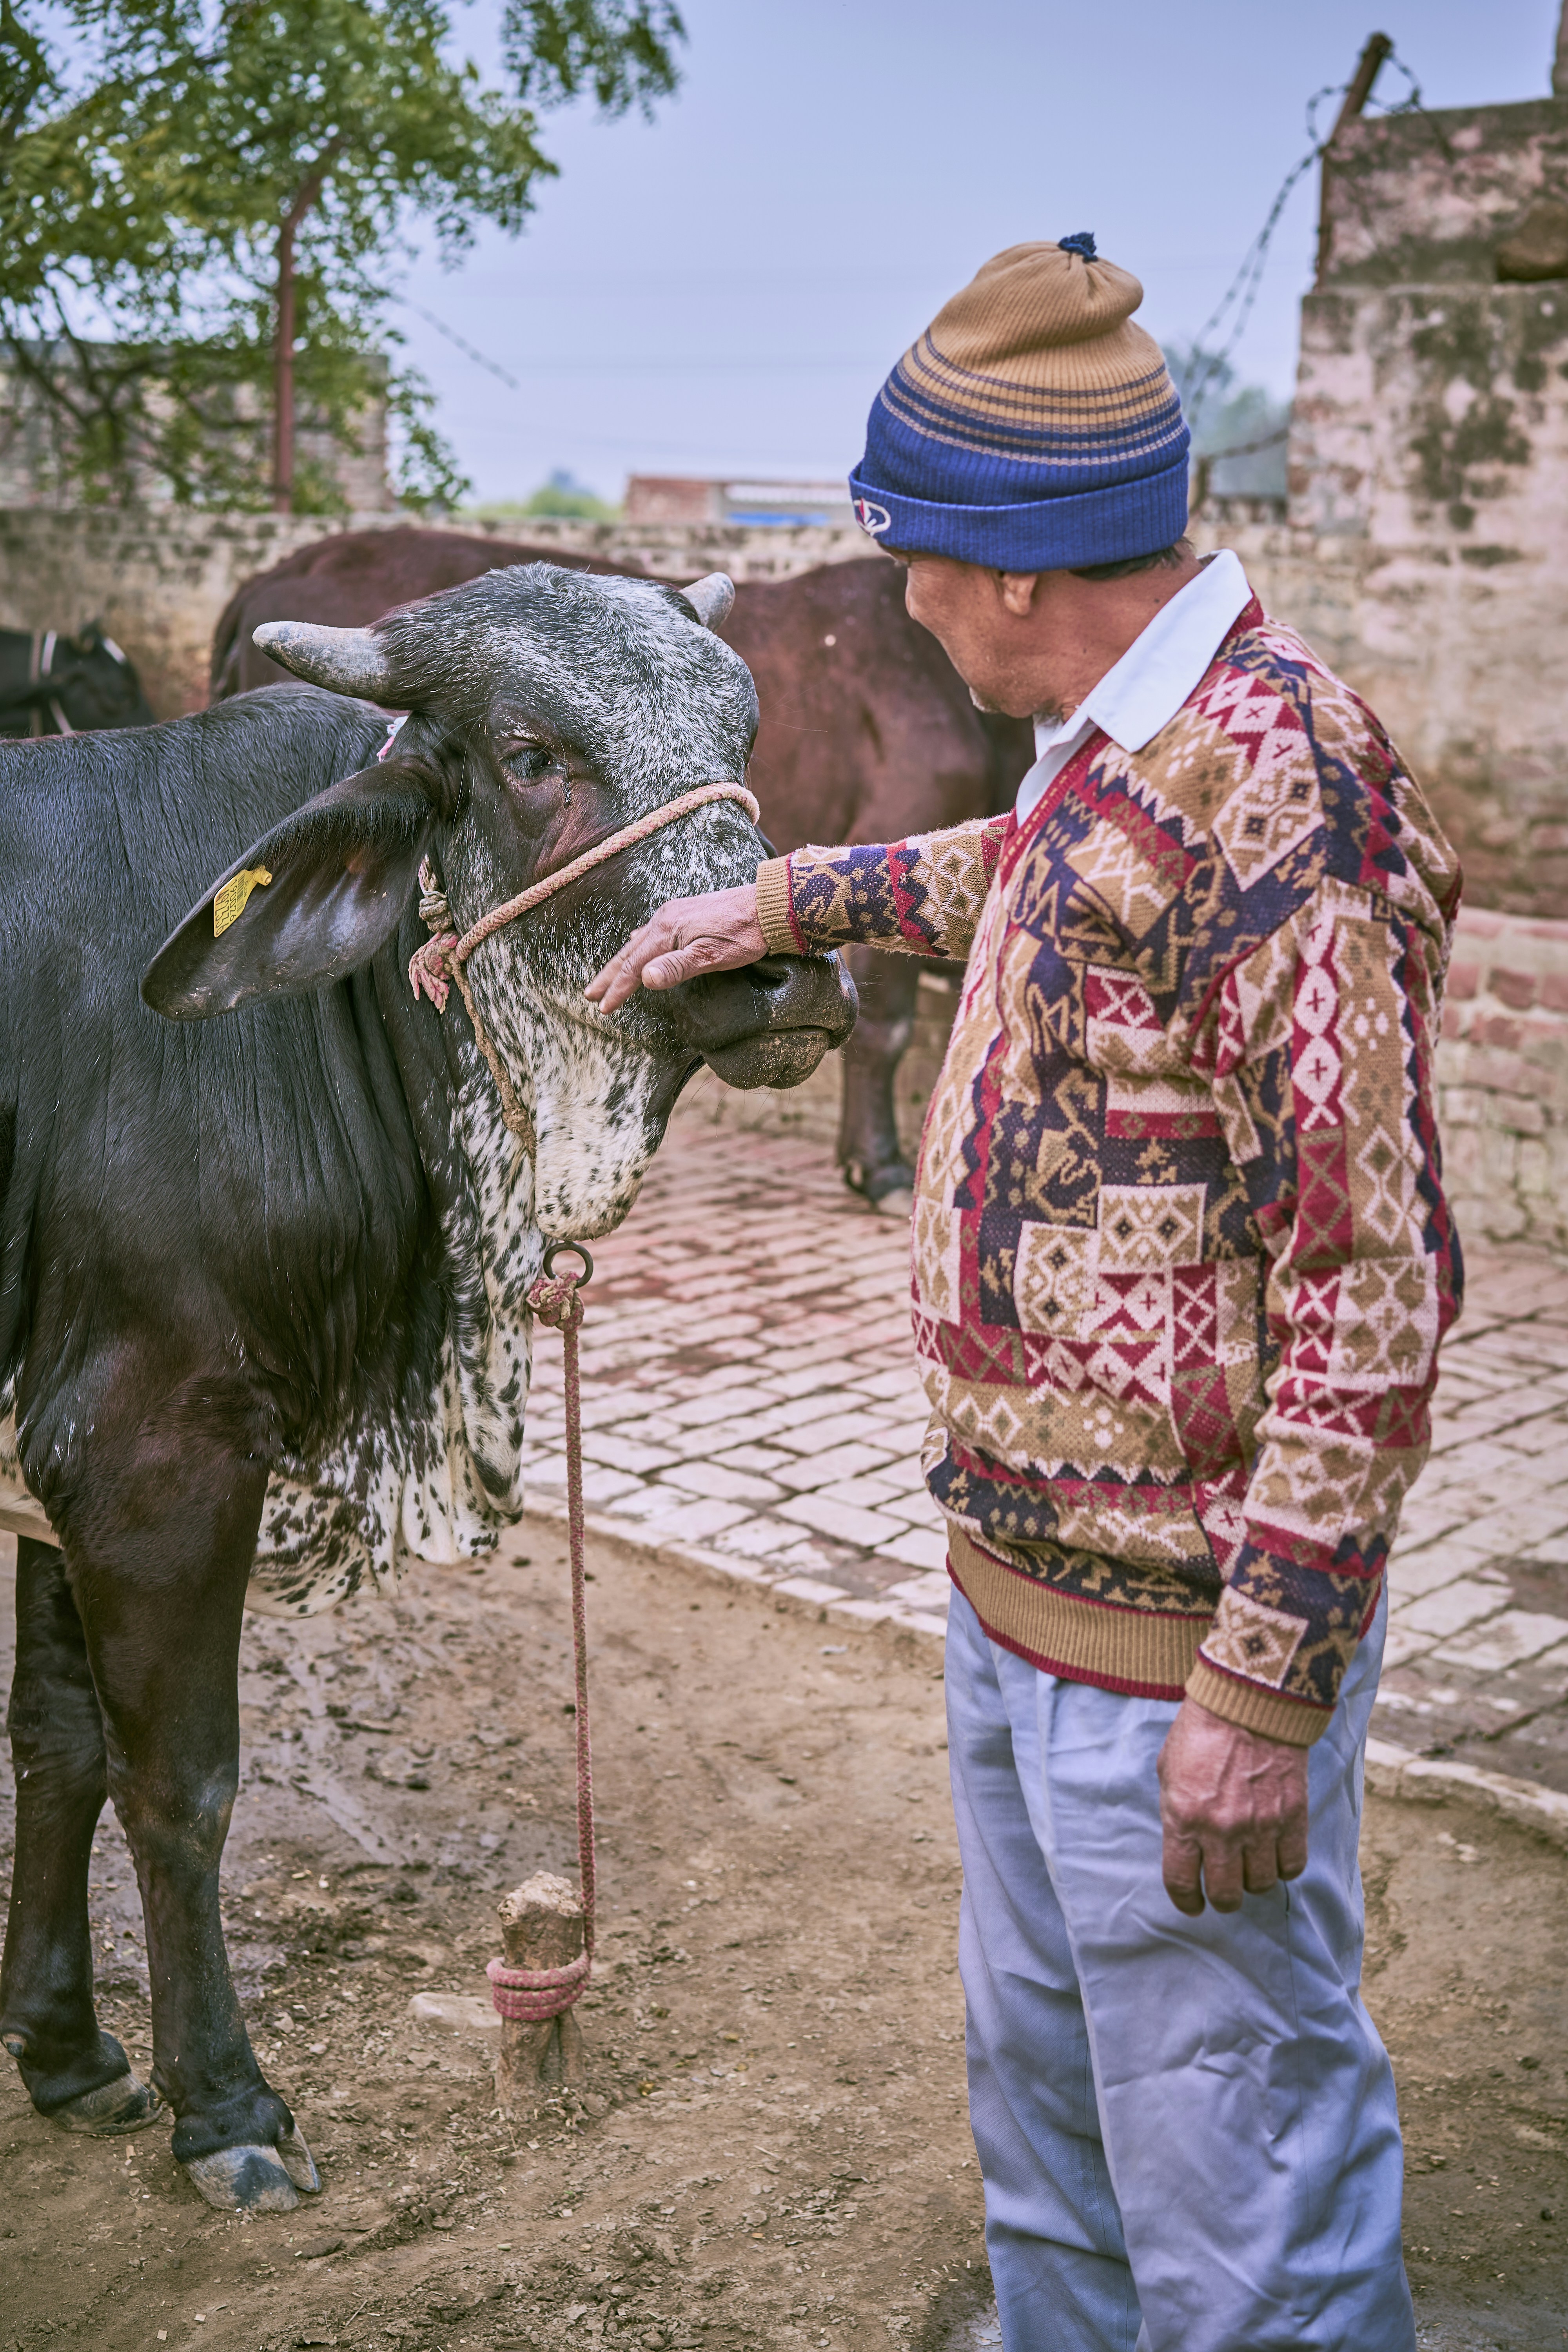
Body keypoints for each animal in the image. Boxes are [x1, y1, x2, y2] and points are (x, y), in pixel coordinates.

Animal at [0, 562, 853, 2216]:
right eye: (528, 753)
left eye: (740, 728)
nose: (777, 967)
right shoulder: (148, 1456)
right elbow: (178, 1784)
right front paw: (226, 2107)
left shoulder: (47, 1469)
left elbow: (58, 1745)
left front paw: (66, 2052)